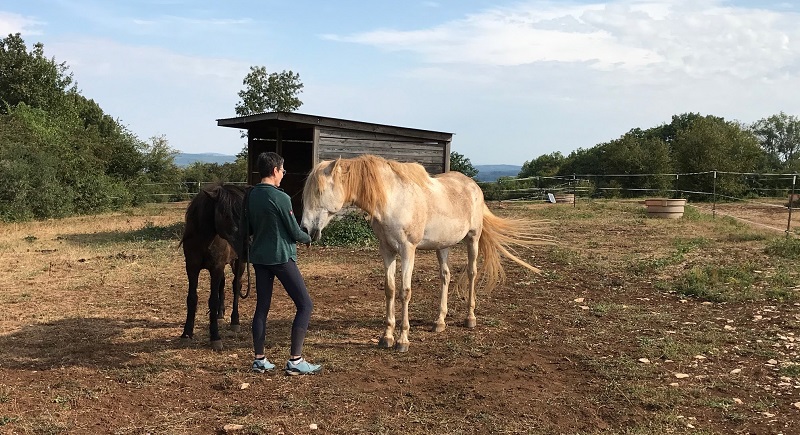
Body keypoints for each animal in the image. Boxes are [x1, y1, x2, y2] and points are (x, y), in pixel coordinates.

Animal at [179, 182, 247, 351]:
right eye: (226, 215)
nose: (246, 245)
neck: (204, 239)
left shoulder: (216, 267)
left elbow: (213, 300)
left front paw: (215, 337)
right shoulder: (192, 267)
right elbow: (192, 298)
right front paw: (186, 334)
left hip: (239, 263)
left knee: (236, 286)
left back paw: (235, 321)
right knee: (223, 285)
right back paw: (220, 315)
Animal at [301, 154, 549, 352]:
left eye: (320, 191)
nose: (305, 228)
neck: (393, 200)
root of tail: (474, 186)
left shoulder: (407, 250)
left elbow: (405, 291)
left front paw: (403, 339)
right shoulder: (387, 251)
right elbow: (390, 290)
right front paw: (386, 337)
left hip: (473, 239)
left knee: (471, 274)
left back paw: (470, 318)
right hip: (443, 246)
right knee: (445, 277)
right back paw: (439, 321)